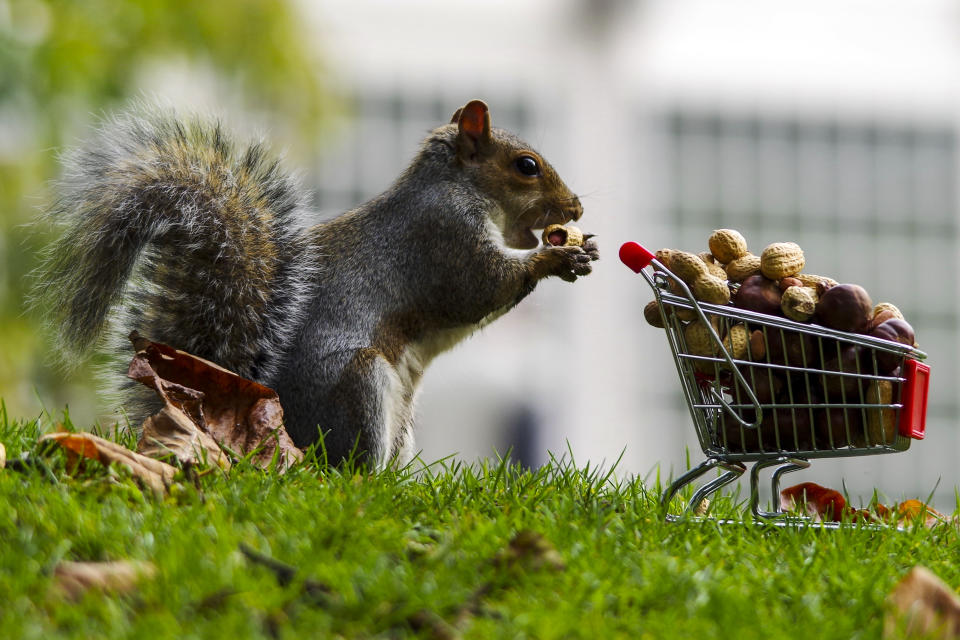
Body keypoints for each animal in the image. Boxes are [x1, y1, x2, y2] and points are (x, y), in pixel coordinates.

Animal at [33, 100, 596, 470]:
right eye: (527, 166)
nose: (575, 210)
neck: (456, 185)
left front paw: (579, 250)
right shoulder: (444, 236)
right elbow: (483, 286)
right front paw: (554, 256)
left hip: (402, 419)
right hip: (359, 385)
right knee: (347, 468)